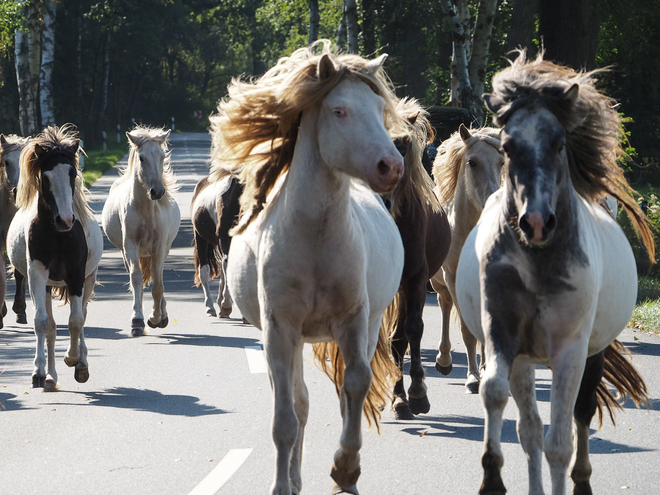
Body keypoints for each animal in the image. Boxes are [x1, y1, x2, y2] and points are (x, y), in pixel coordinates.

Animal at [7, 125, 103, 392]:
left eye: (72, 173)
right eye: (46, 177)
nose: (66, 220)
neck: (59, 236)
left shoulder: (77, 276)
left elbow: (76, 321)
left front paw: (73, 359)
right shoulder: (37, 275)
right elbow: (42, 324)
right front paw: (40, 373)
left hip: (88, 280)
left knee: (82, 315)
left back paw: (81, 364)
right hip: (49, 285)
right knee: (50, 328)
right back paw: (49, 376)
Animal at [100, 127, 179, 338]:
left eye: (162, 156)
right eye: (141, 158)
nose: (157, 192)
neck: (146, 210)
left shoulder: (159, 248)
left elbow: (158, 285)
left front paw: (156, 318)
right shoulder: (130, 246)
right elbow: (136, 279)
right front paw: (138, 321)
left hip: (163, 250)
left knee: (157, 278)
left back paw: (162, 314)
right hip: (126, 253)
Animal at [214, 42, 408, 495]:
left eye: (380, 106)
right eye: (339, 110)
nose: (391, 167)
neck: (316, 237)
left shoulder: (354, 321)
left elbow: (355, 385)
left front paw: (346, 468)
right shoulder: (280, 330)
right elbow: (287, 416)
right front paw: (283, 485)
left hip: (369, 325)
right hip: (291, 340)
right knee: (298, 401)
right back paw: (294, 478)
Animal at [430, 123, 502, 392]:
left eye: (501, 162)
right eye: (472, 162)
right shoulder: (453, 278)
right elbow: (467, 330)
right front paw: (472, 377)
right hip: (439, 283)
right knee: (444, 304)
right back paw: (444, 360)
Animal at [454, 52, 648, 494]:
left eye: (559, 144)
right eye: (508, 147)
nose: (537, 222)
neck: (538, 264)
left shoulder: (571, 352)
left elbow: (560, 442)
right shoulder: (503, 335)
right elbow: (496, 395)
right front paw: (491, 477)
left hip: (592, 353)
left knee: (581, 414)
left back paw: (582, 479)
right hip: (527, 360)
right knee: (529, 429)